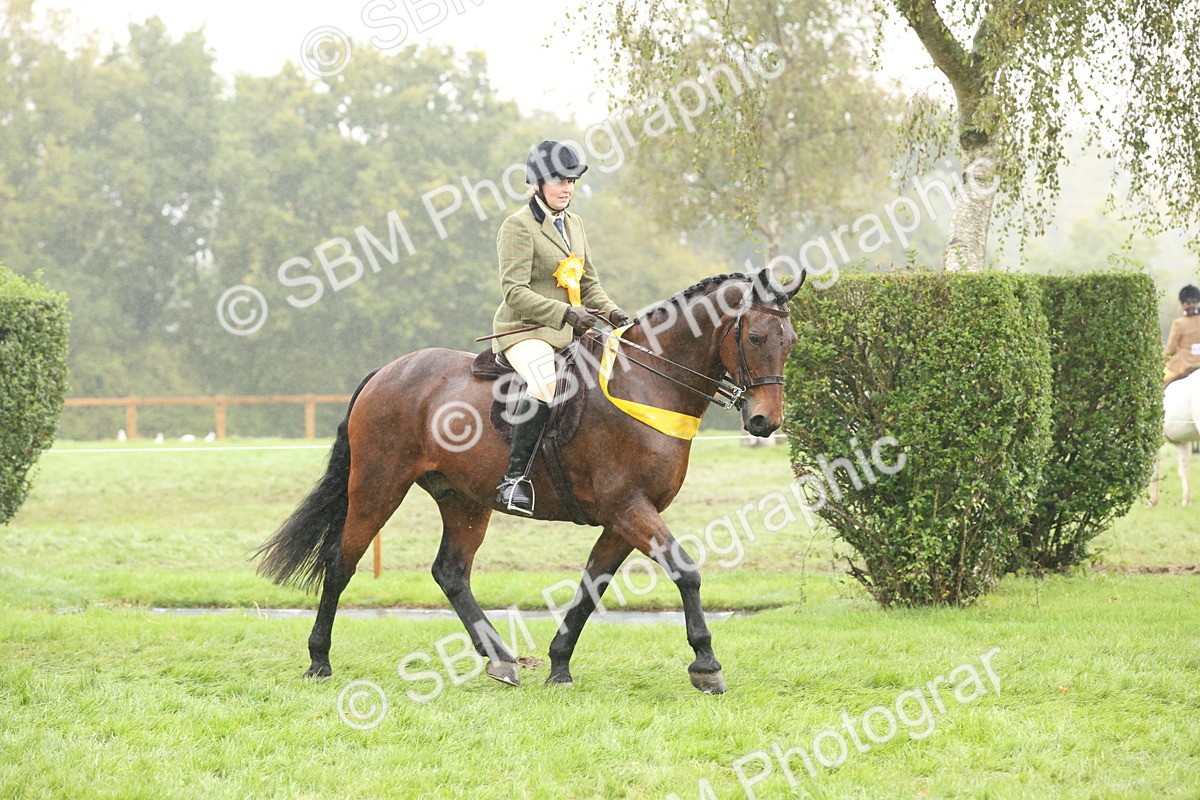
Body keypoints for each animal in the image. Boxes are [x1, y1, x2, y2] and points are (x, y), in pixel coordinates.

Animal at [255, 269, 803, 694]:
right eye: (755, 337)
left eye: (791, 341)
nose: (764, 422)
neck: (647, 383)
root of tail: (387, 372)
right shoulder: (628, 507)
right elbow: (685, 571)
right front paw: (706, 665)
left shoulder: (623, 518)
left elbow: (591, 587)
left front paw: (559, 664)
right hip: (377, 488)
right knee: (340, 562)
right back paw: (319, 659)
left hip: (464, 500)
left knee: (450, 572)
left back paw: (500, 658)